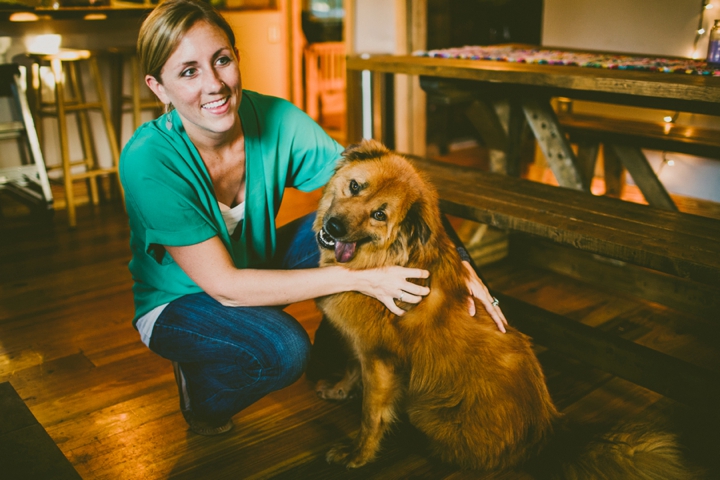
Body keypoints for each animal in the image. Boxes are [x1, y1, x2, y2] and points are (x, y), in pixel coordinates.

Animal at [310, 138, 696, 476]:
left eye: (379, 214)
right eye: (355, 186)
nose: (334, 227)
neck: (382, 262)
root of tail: (547, 433)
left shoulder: (381, 361)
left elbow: (371, 416)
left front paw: (357, 456)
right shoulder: (363, 348)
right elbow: (352, 368)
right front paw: (340, 389)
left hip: (427, 411)